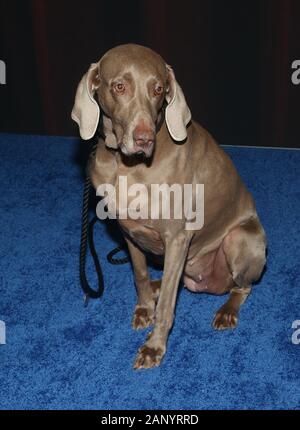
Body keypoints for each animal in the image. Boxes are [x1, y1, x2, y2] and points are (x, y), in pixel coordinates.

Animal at [71, 45, 266, 372]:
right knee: (172, 283)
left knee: (243, 287)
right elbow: (138, 274)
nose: (144, 139)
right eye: (119, 87)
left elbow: (166, 309)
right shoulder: (127, 229)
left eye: (159, 89)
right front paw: (143, 307)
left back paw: (227, 310)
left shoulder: (177, 237)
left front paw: (154, 347)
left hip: (240, 239)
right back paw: (157, 285)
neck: (127, 165)